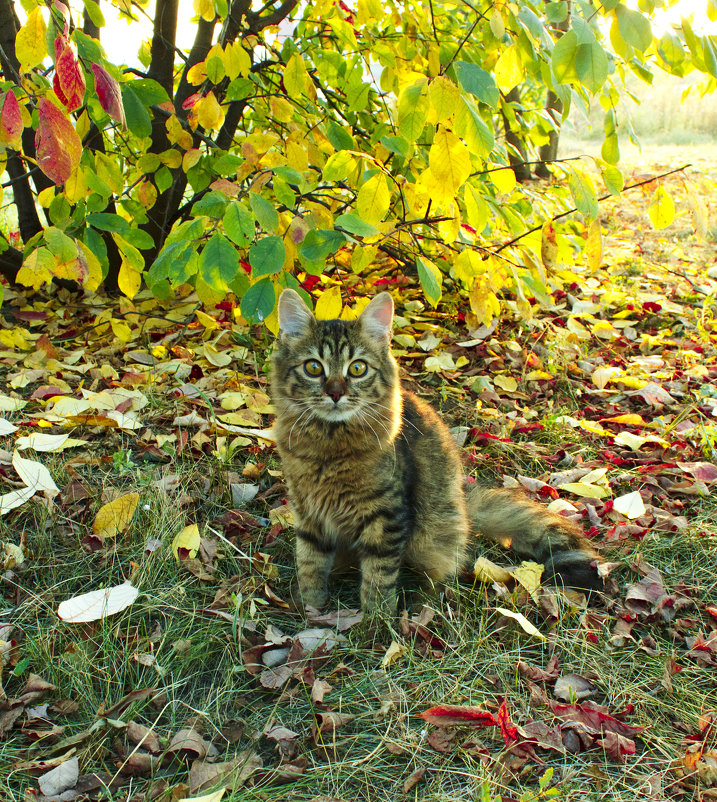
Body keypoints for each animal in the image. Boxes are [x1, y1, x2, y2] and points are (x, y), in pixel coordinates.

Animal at [268, 288, 600, 608]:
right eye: (313, 368)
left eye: (358, 368)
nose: (335, 393)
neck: (327, 445)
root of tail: (465, 503)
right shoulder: (307, 510)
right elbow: (309, 563)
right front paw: (311, 608)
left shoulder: (386, 516)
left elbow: (379, 577)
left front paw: (374, 620)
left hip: (431, 536)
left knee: (440, 576)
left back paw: (418, 605)